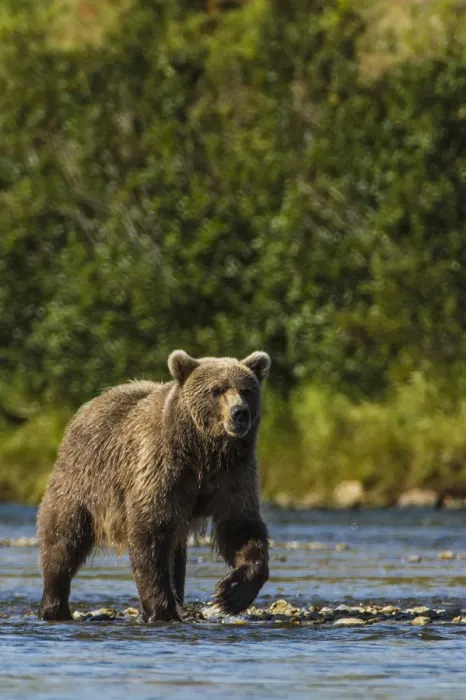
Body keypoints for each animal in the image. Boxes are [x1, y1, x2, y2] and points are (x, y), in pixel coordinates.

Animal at [37, 349, 271, 622]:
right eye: (216, 389)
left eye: (247, 390)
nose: (239, 412)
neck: (203, 452)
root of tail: (89, 405)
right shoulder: (162, 468)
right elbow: (150, 532)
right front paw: (162, 609)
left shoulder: (233, 474)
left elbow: (241, 527)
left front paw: (230, 594)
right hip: (82, 480)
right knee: (63, 537)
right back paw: (54, 606)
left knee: (177, 555)